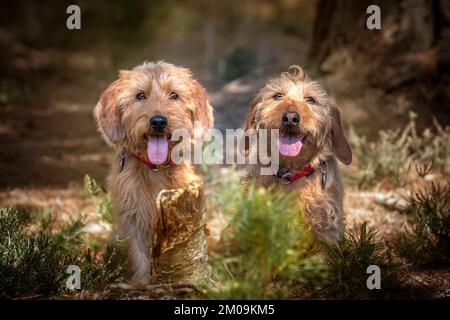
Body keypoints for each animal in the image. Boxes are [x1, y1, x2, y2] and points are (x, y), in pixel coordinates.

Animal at [93, 61, 213, 286]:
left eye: (174, 95)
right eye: (140, 95)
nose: (158, 121)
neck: (156, 169)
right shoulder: (132, 217)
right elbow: (138, 255)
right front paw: (141, 284)